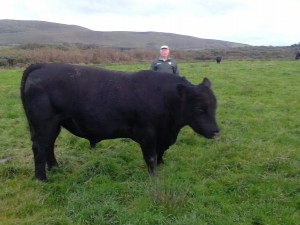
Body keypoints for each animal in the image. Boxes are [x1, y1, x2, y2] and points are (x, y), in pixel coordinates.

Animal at [19, 63, 219, 181]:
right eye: (200, 108)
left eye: (214, 106)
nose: (216, 132)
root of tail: (43, 66)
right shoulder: (147, 133)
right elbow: (151, 157)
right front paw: (153, 178)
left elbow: (160, 153)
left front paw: (161, 167)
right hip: (44, 124)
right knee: (40, 147)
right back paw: (42, 178)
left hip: (53, 125)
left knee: (48, 145)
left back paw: (55, 168)